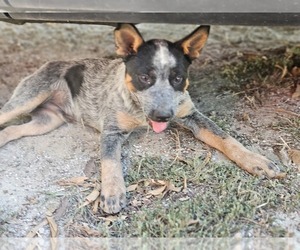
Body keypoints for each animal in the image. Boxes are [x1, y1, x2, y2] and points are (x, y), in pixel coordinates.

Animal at [0, 23, 284, 213]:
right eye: (144, 77)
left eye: (177, 78)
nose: (163, 115)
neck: (139, 109)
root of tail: (49, 63)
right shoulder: (112, 132)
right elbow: (110, 161)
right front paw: (113, 192)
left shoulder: (191, 115)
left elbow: (225, 138)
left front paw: (256, 160)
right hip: (29, 97)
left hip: (48, 122)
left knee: (11, 130)